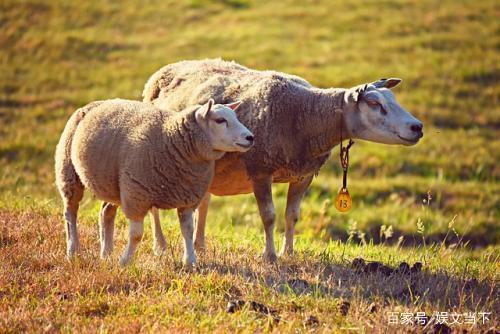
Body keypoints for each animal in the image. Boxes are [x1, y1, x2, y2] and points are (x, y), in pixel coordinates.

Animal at [55, 98, 256, 264]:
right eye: (220, 120)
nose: (250, 137)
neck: (171, 138)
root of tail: (93, 104)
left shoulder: (187, 198)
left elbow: (188, 230)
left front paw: (190, 261)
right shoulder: (137, 195)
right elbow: (136, 235)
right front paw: (125, 262)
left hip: (113, 184)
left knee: (106, 213)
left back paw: (106, 254)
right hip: (68, 172)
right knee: (70, 213)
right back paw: (73, 251)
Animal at [143, 58, 424, 262]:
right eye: (375, 103)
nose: (417, 127)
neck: (304, 115)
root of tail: (166, 69)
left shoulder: (304, 174)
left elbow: (292, 215)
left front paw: (288, 253)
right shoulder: (260, 169)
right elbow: (269, 216)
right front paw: (270, 256)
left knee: (203, 202)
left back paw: (199, 245)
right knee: (155, 206)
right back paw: (161, 246)